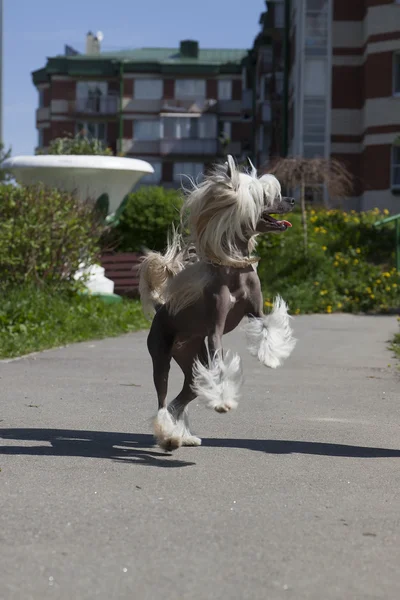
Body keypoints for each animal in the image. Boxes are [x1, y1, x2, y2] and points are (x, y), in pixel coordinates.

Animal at [139, 155, 296, 450]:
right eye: (266, 196)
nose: (292, 199)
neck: (235, 270)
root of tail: (160, 308)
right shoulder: (215, 331)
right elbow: (221, 367)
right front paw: (223, 403)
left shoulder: (256, 312)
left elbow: (267, 328)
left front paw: (271, 357)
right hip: (162, 357)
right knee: (163, 400)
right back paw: (168, 436)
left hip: (193, 365)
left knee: (181, 399)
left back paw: (182, 435)